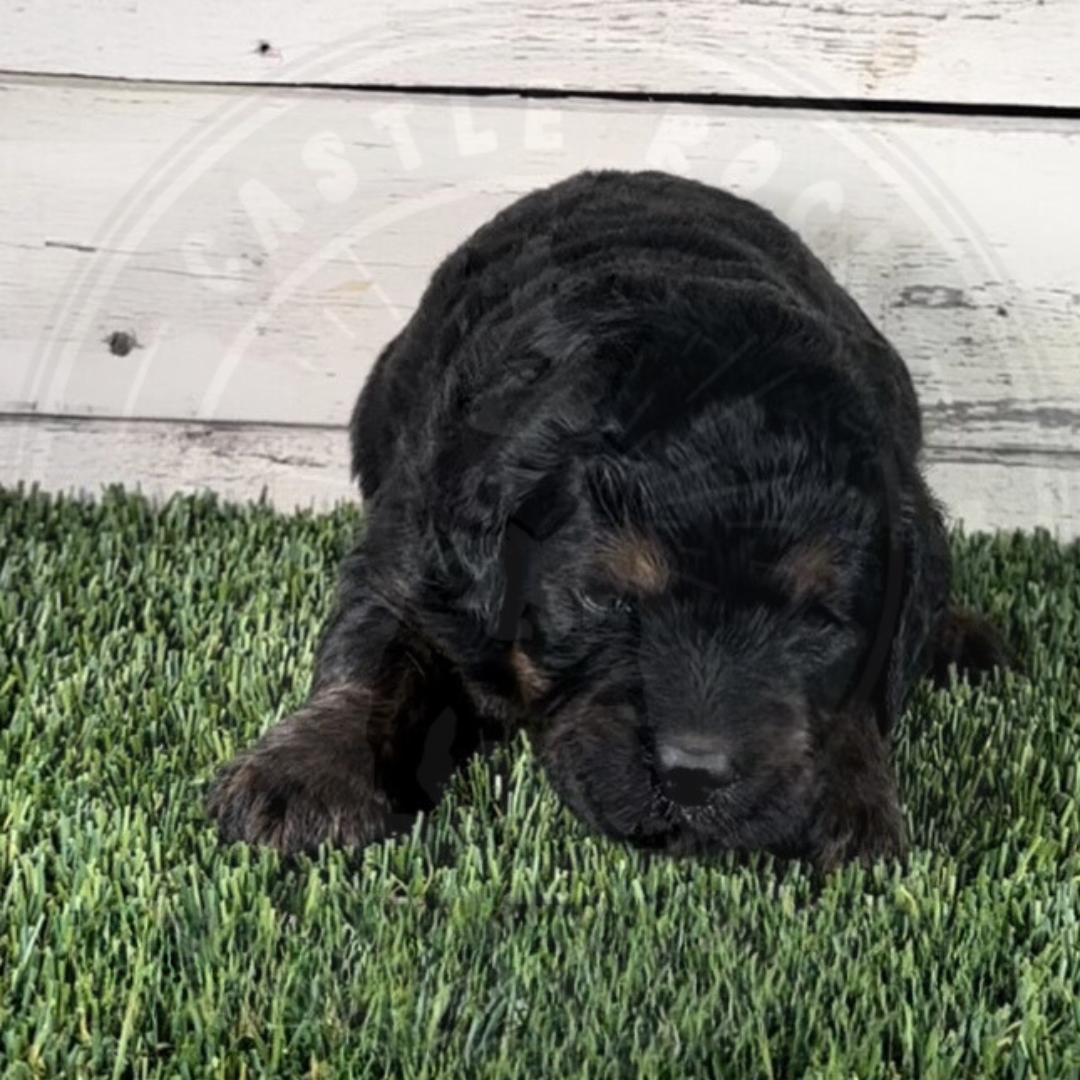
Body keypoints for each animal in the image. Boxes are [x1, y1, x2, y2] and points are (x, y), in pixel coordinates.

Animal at [208, 168, 1002, 864]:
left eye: (817, 621)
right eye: (607, 599)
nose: (695, 777)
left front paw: (848, 798)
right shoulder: (420, 552)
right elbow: (377, 649)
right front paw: (302, 774)